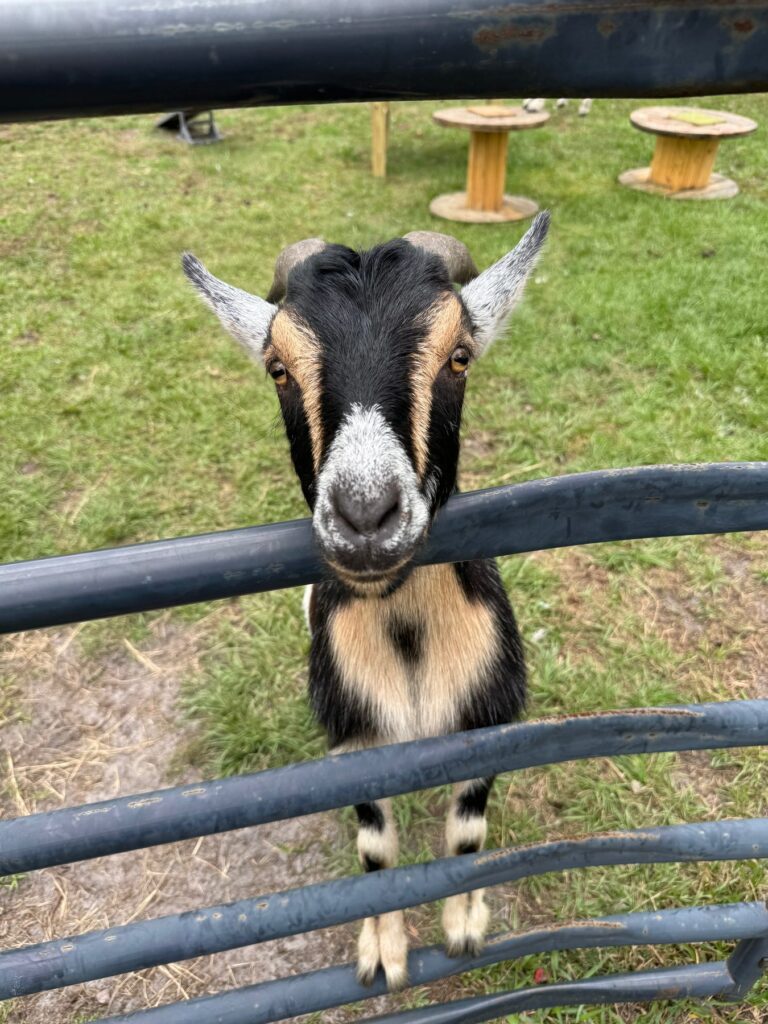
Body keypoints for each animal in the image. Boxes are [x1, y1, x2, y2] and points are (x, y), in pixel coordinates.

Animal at [183, 211, 549, 991]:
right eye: (278, 368)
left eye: (460, 358)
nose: (364, 516)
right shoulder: (350, 739)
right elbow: (377, 849)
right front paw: (382, 950)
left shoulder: (490, 718)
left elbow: (467, 828)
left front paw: (463, 924)